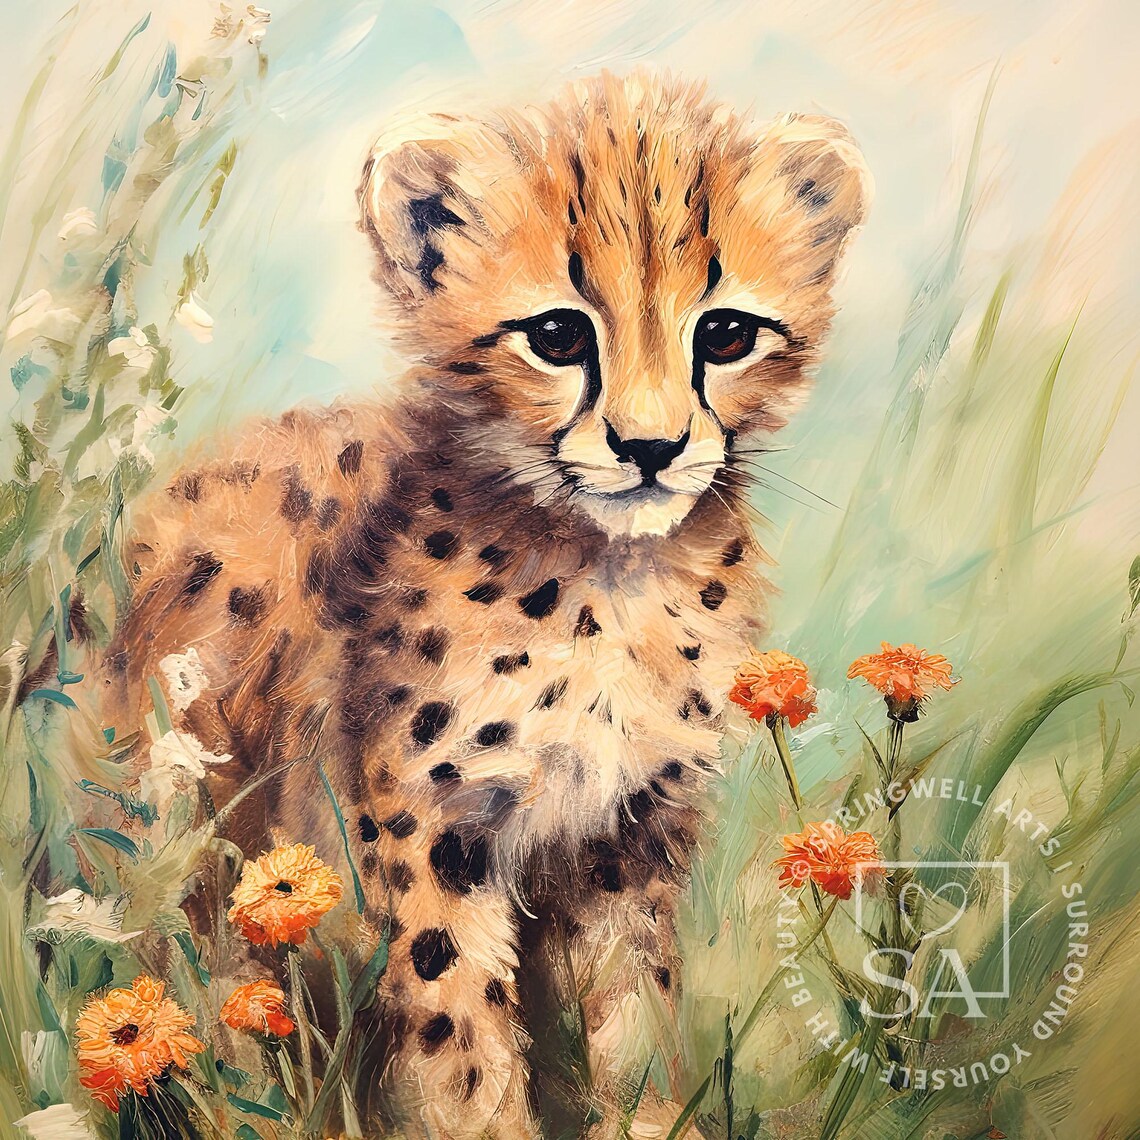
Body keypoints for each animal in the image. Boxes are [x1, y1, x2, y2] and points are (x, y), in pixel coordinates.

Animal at [98, 72, 869, 1139]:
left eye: (725, 333)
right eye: (557, 334)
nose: (652, 447)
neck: (607, 580)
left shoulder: (623, 834)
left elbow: (632, 1010)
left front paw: (643, 1116)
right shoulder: (433, 832)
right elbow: (455, 1019)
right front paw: (482, 1121)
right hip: (199, 846)